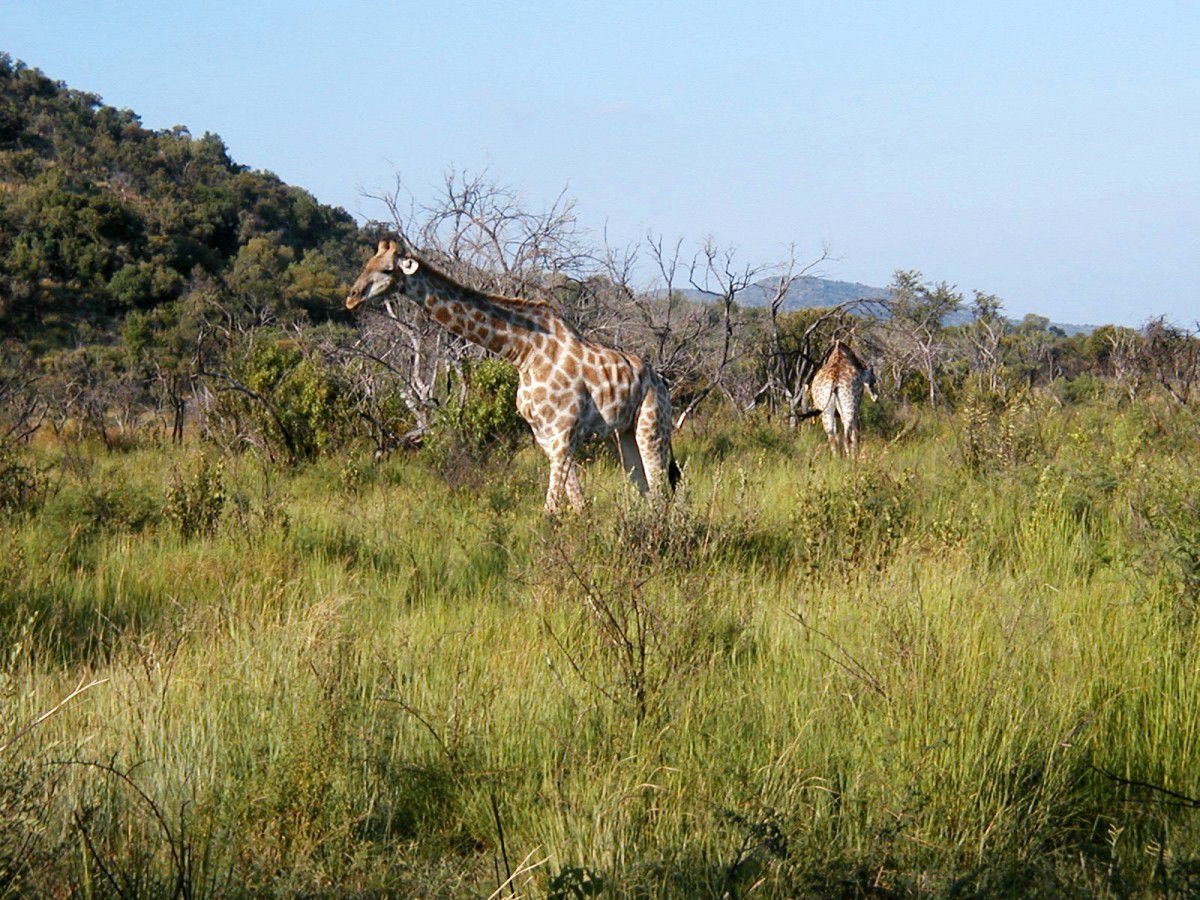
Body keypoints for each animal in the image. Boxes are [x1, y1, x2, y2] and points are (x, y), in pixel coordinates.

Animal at [348, 237, 681, 513]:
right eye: (366, 265)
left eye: (387, 270)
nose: (351, 298)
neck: (524, 352)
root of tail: (661, 382)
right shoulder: (546, 436)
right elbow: (578, 504)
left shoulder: (562, 433)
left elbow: (551, 510)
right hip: (624, 432)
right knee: (645, 490)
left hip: (652, 425)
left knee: (660, 491)